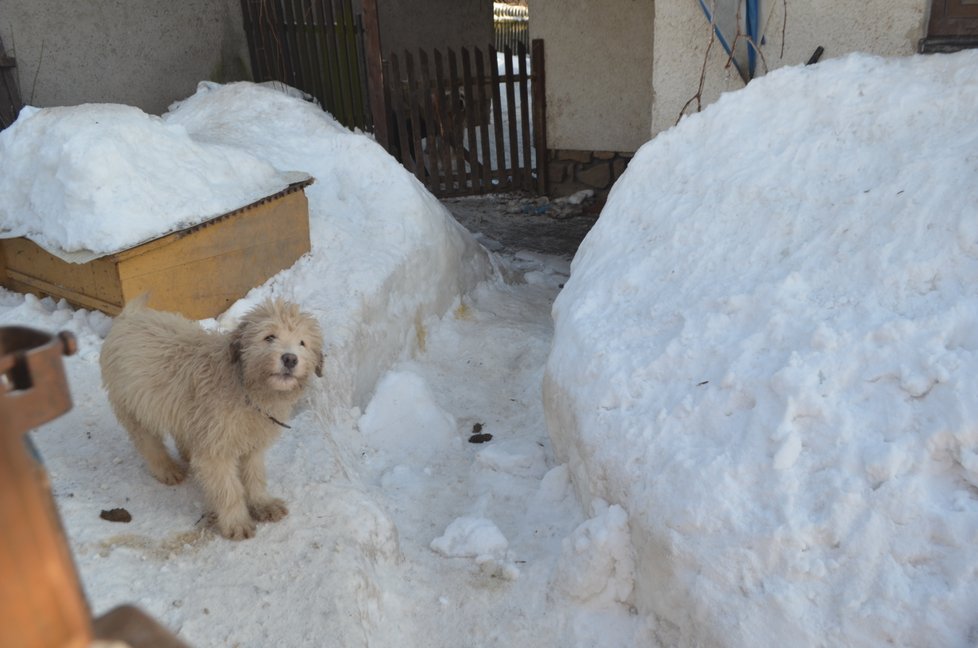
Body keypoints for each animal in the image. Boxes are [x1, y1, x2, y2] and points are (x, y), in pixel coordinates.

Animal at [102, 296, 324, 540]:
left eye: (302, 343)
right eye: (269, 337)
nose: (290, 359)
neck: (245, 386)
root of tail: (129, 316)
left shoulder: (251, 444)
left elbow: (255, 476)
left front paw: (263, 504)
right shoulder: (217, 450)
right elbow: (229, 489)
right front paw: (236, 522)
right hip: (133, 406)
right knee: (147, 441)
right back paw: (167, 469)